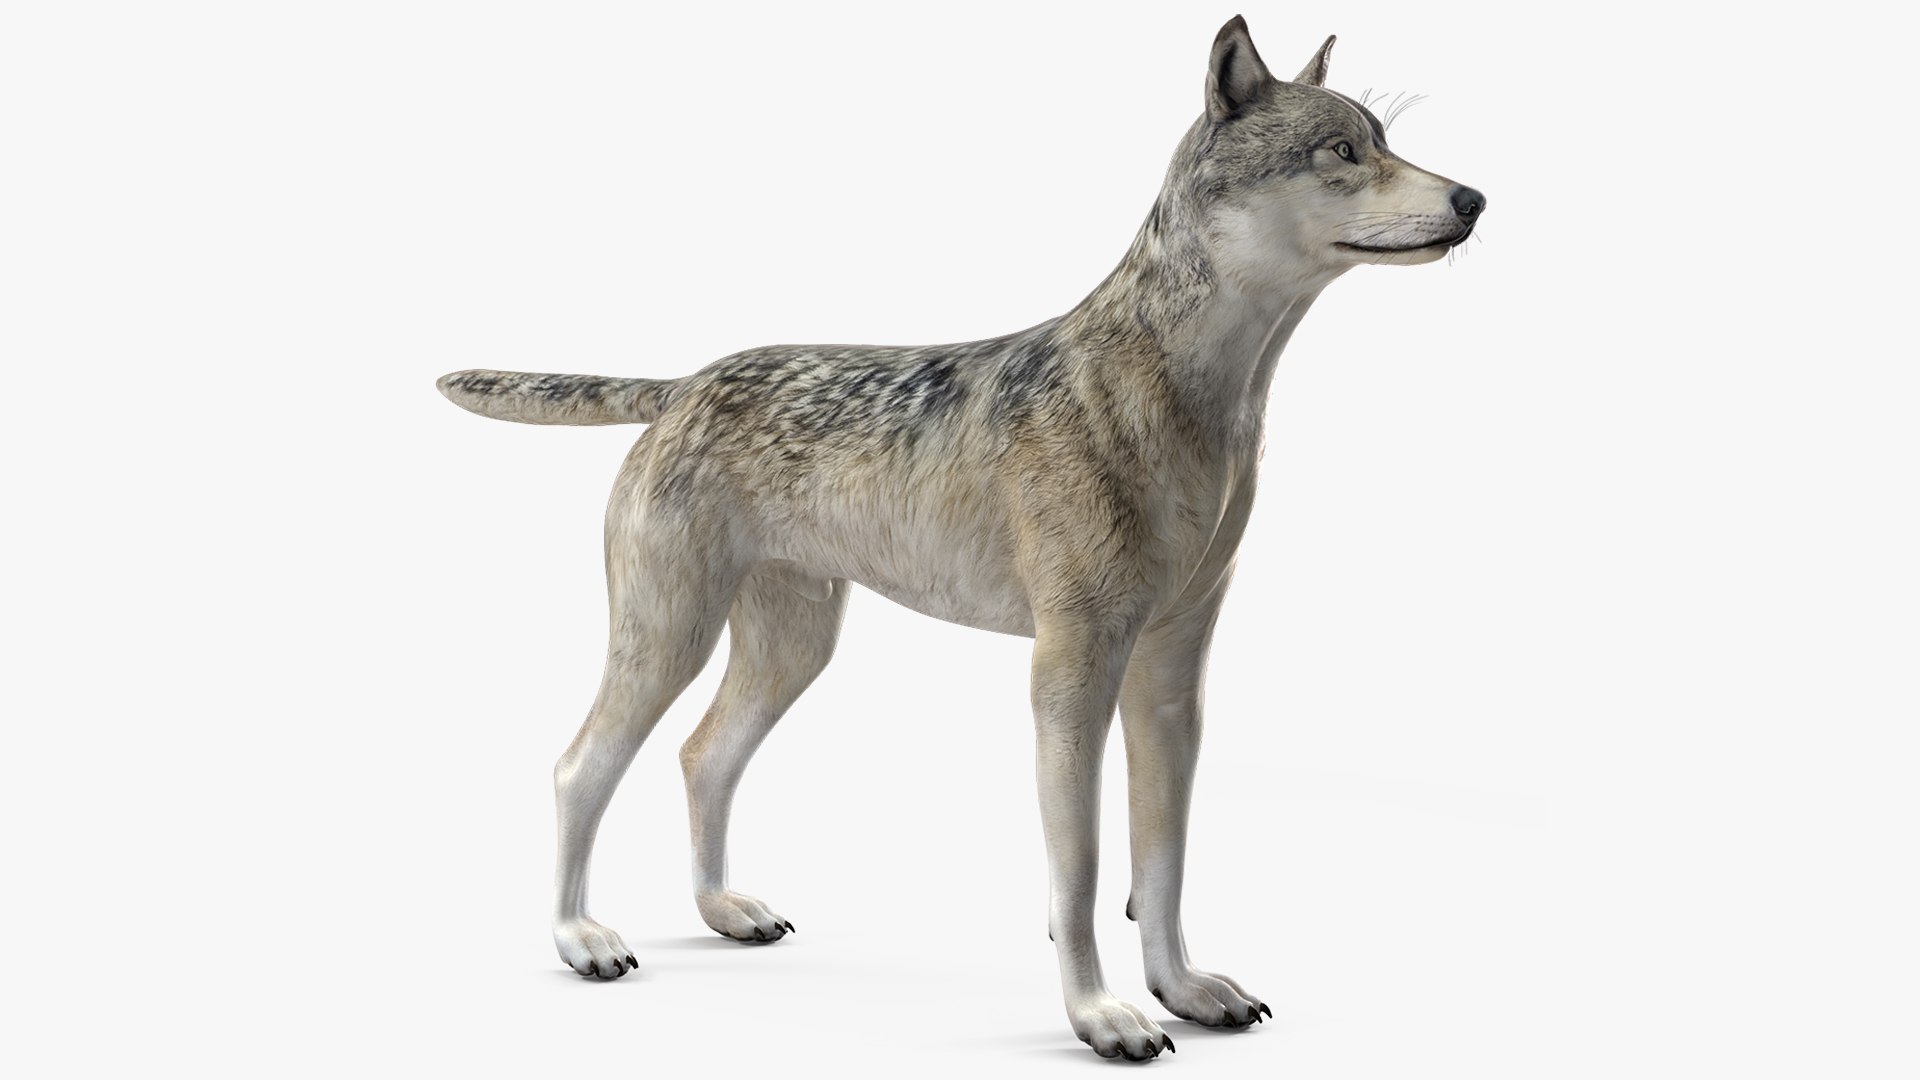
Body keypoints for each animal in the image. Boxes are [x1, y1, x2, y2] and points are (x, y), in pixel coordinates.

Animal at [438, 15, 1483, 1060]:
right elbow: (1083, 874)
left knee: (703, 756)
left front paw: (1184, 991)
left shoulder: (1171, 674)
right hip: (669, 636)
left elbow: (1165, 861)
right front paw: (1103, 1017)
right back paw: (581, 938)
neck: (1199, 396)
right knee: (579, 768)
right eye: (1340, 153)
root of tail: (681, 386)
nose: (1474, 198)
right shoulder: (1070, 674)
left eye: (1383, 141)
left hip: (791, 649)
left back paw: (726, 911)